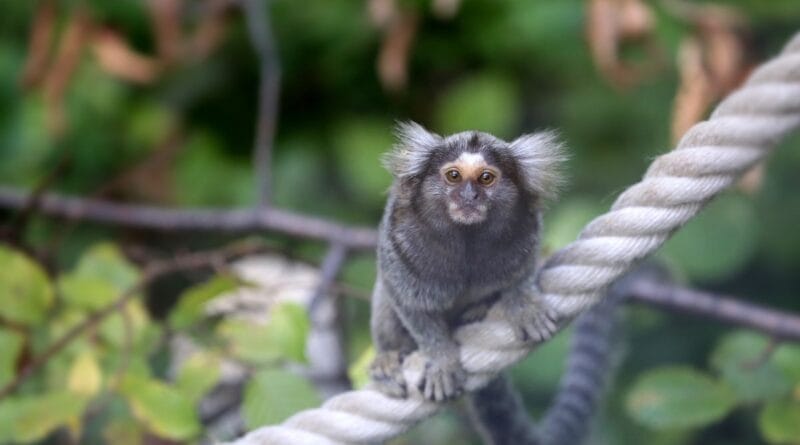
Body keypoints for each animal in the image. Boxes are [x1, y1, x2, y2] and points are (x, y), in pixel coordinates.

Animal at [369, 121, 567, 402]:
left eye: (486, 178)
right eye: (454, 176)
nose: (469, 196)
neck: (466, 236)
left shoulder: (526, 230)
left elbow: (522, 271)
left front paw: (524, 303)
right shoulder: (398, 244)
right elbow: (410, 304)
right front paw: (441, 361)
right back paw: (387, 359)